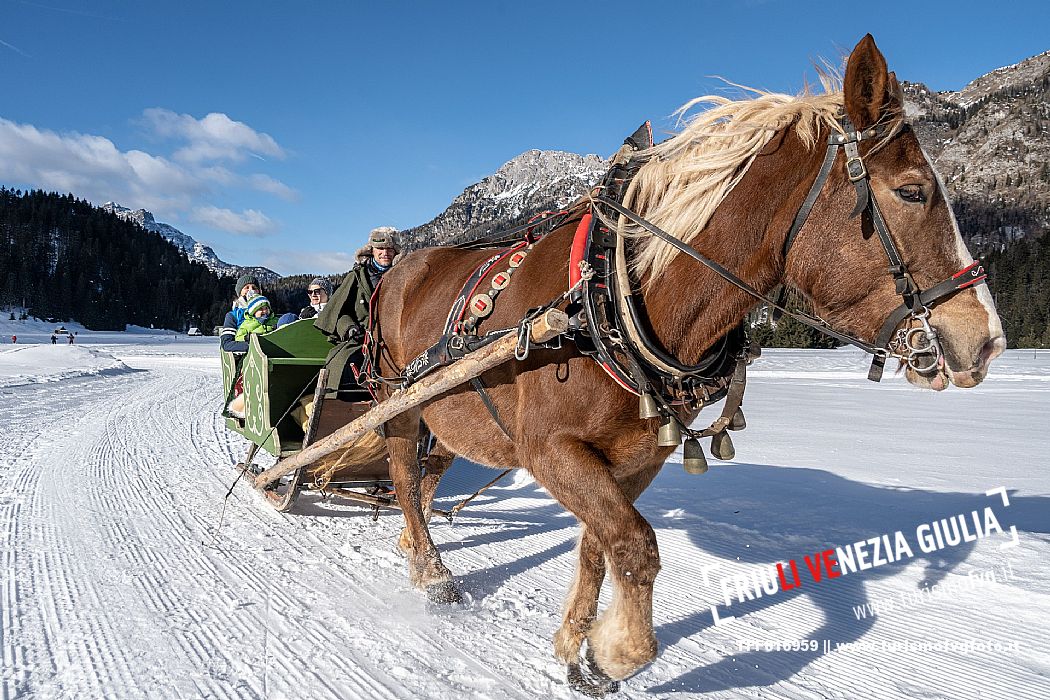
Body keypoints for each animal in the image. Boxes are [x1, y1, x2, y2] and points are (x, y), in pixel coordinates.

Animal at [373, 36, 1003, 688]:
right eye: (912, 190)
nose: (985, 339)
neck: (614, 296)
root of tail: (400, 266)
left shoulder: (637, 458)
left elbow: (601, 545)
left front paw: (579, 646)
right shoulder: (548, 449)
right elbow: (636, 547)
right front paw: (618, 651)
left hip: (451, 411)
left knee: (429, 474)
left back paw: (413, 545)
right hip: (399, 403)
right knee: (403, 475)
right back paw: (431, 571)